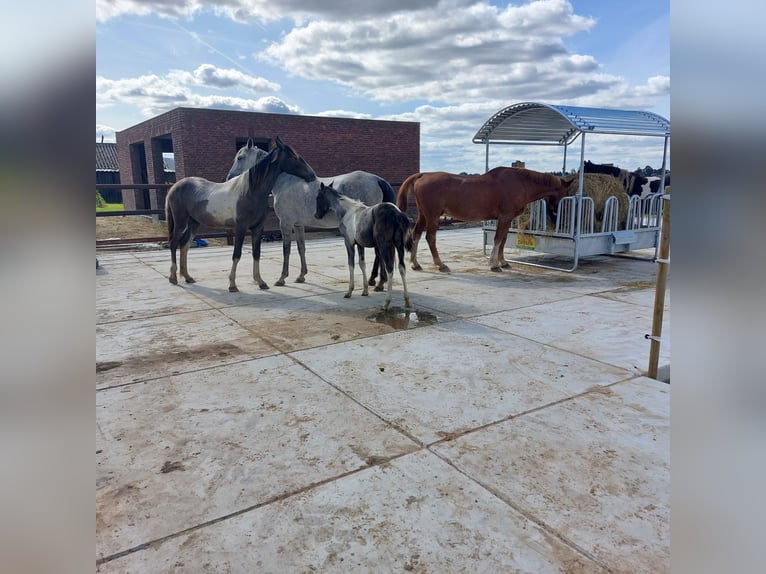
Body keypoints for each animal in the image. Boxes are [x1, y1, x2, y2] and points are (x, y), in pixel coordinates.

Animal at [165, 138, 316, 292]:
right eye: (294, 157)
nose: (312, 175)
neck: (250, 192)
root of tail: (175, 186)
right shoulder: (240, 228)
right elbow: (236, 254)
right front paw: (232, 284)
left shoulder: (258, 228)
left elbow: (256, 253)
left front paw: (260, 282)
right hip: (180, 221)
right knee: (174, 243)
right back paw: (173, 278)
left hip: (194, 223)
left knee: (184, 244)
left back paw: (187, 277)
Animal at [396, 168, 576, 274]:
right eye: (566, 192)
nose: (561, 217)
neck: (520, 182)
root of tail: (423, 174)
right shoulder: (505, 217)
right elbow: (497, 240)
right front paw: (494, 264)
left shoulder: (507, 219)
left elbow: (503, 240)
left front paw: (503, 262)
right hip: (433, 216)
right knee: (430, 238)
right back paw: (440, 264)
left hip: (423, 215)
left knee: (416, 234)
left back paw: (415, 263)